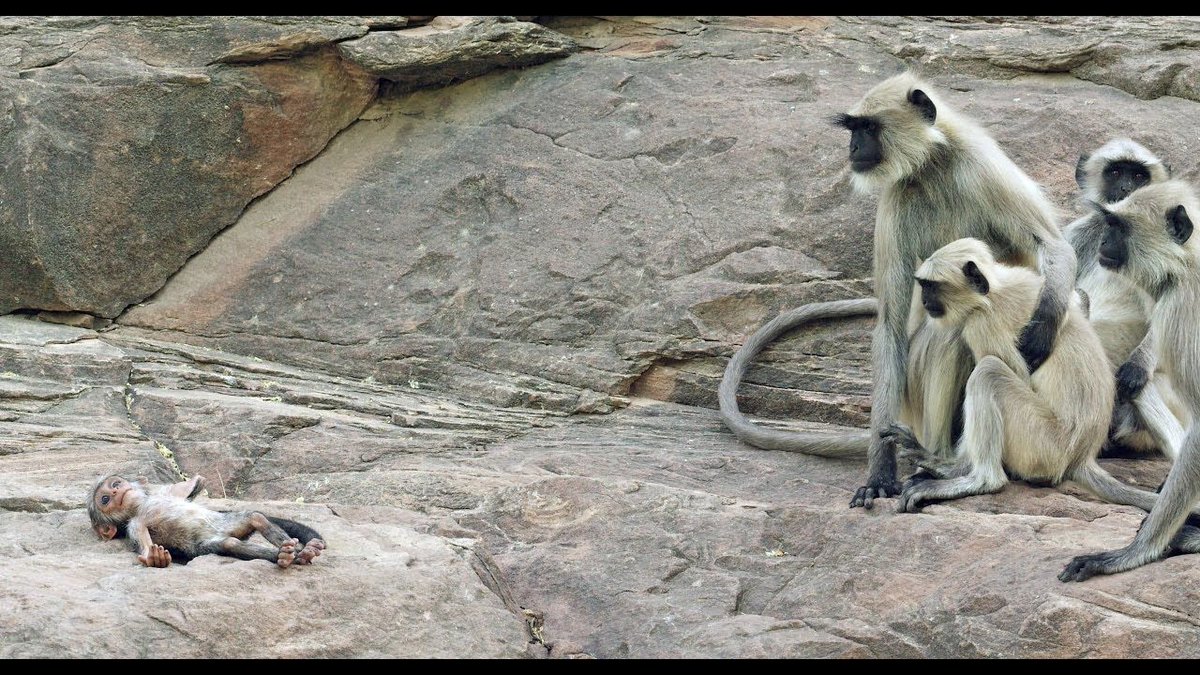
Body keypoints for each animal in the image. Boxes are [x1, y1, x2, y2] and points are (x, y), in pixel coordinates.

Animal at [88, 474, 326, 568]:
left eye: (116, 483)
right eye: (105, 499)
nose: (116, 491)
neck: (141, 505)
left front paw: (195, 482)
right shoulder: (135, 524)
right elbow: (145, 545)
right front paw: (154, 558)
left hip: (224, 523)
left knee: (254, 517)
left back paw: (301, 550)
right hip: (205, 543)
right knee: (229, 543)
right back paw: (286, 555)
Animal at [719, 72, 1077, 508]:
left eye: (869, 128)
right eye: (854, 129)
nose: (853, 149)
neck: (932, 164)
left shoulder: (982, 165)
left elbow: (1053, 245)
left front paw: (1043, 328)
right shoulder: (895, 197)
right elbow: (890, 324)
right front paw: (880, 472)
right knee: (946, 340)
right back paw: (938, 460)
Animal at [877, 237, 1178, 514]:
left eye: (931, 286)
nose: (925, 300)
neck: (992, 292)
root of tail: (1081, 456)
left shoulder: (982, 323)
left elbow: (1016, 373)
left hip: (1043, 445)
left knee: (989, 372)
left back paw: (978, 480)